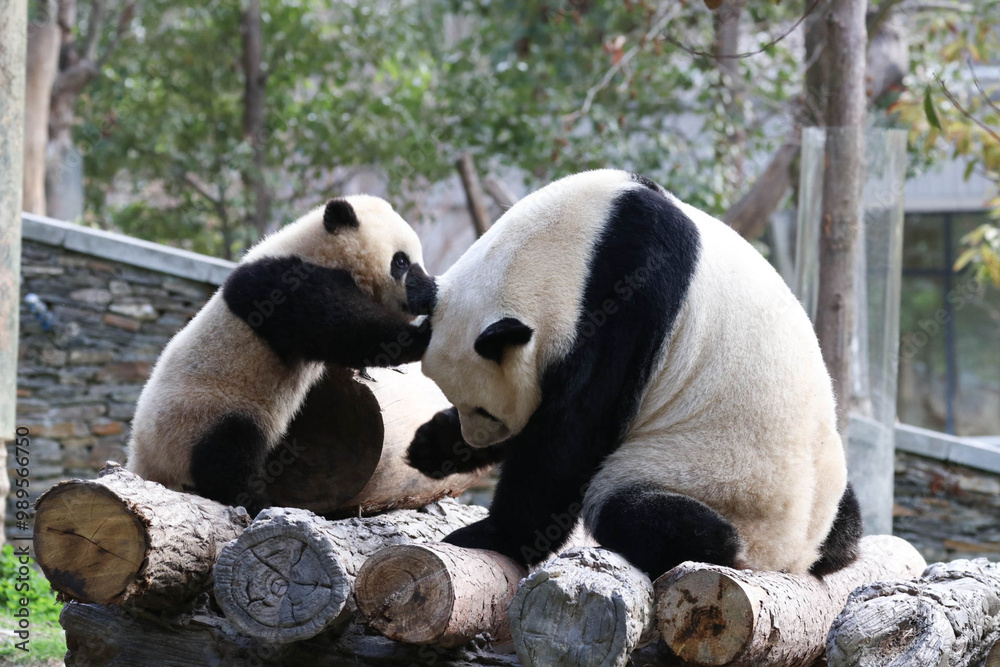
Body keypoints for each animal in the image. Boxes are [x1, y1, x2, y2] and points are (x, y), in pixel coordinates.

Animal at [127, 196, 430, 514]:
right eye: (401, 261)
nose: (426, 292)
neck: (318, 250)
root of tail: (143, 462)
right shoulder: (283, 285)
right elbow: (340, 329)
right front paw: (422, 334)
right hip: (204, 412)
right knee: (226, 452)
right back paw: (253, 499)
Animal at [404, 169, 862, 579]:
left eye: (486, 411)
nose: (473, 440)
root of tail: (789, 557)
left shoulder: (624, 304)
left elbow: (571, 439)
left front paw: (491, 535)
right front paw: (431, 446)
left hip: (699, 477)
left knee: (646, 516)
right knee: (848, 525)